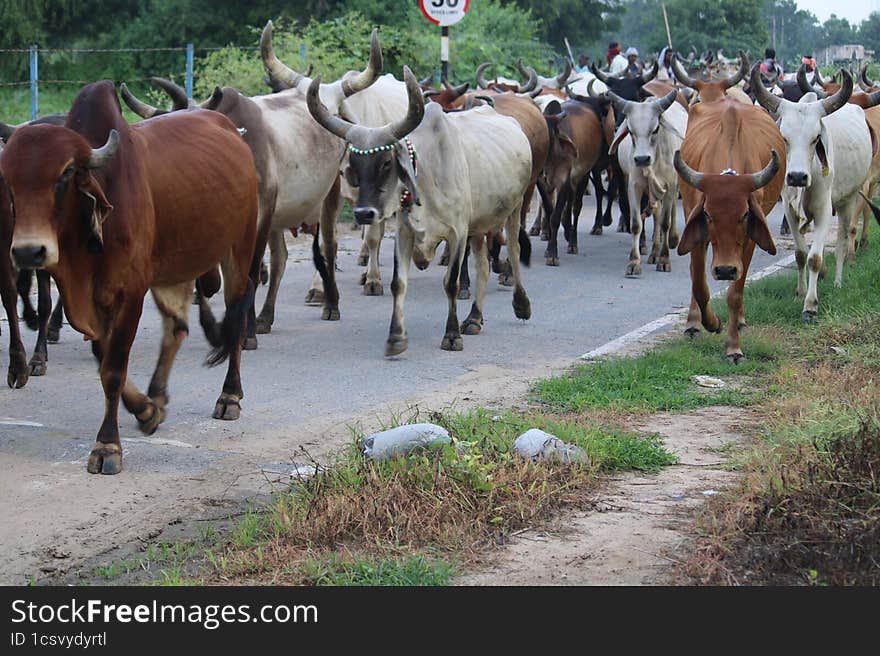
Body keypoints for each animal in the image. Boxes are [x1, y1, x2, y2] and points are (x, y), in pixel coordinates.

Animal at [0, 82, 258, 474]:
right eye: (9, 180)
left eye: (66, 172)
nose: (30, 252)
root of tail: (233, 132)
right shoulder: (89, 300)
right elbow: (102, 355)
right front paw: (147, 410)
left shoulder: (131, 292)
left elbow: (113, 368)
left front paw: (107, 446)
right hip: (172, 266)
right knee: (177, 327)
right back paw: (159, 394)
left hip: (238, 250)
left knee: (237, 319)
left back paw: (230, 396)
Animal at [672, 97, 784, 362]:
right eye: (708, 215)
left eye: (744, 214)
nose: (724, 270)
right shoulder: (698, 229)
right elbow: (699, 285)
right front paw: (711, 323)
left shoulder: (749, 240)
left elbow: (735, 294)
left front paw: (733, 348)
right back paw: (694, 324)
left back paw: (740, 322)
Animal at [748, 66, 872, 320]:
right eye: (783, 137)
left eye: (816, 139)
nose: (797, 177)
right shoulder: (789, 210)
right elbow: (801, 254)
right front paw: (800, 292)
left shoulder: (824, 209)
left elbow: (815, 257)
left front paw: (811, 305)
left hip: (849, 200)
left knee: (843, 239)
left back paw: (837, 281)